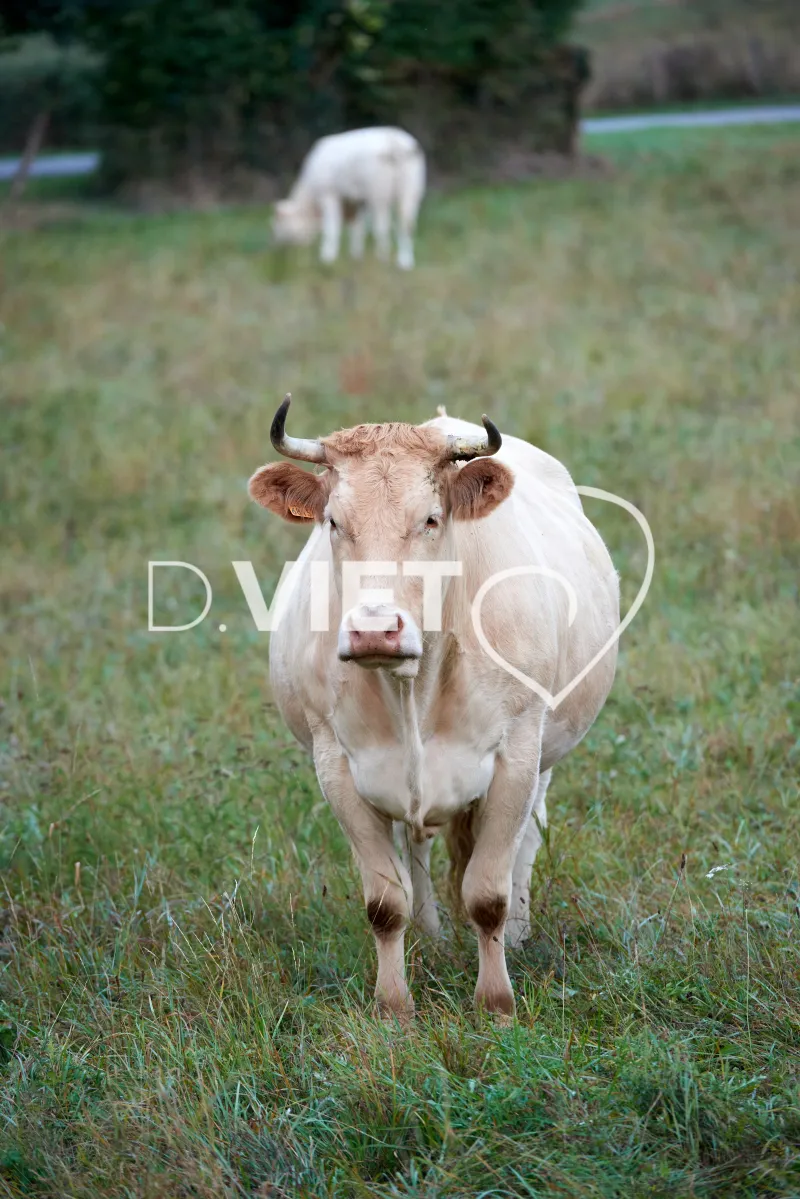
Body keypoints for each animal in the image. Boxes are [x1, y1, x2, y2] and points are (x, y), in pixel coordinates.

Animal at [248, 397, 620, 1021]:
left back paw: (519, 931)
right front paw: (393, 1006)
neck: (412, 686)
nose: (375, 630)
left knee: (527, 840)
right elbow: (384, 901)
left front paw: (496, 1002)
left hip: (547, 753)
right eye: (333, 522)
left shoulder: (517, 754)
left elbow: (488, 893)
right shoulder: (337, 767)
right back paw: (430, 933)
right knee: (416, 845)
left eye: (429, 519)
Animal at [271, 127, 426, 270]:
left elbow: (332, 228)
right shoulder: (357, 201)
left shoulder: (328, 194)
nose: (275, 247)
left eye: (276, 224)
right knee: (407, 225)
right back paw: (405, 263)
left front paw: (327, 258)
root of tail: (394, 141)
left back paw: (383, 258)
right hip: (411, 191)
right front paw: (356, 257)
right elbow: (357, 228)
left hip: (379, 193)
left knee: (382, 226)